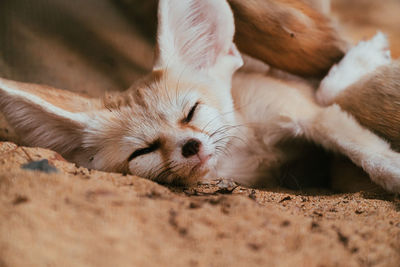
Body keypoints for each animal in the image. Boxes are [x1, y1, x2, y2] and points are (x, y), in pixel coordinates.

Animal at [0, 0, 400, 193]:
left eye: (191, 111)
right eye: (142, 151)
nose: (190, 146)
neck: (249, 154)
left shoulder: (301, 110)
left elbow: (366, 148)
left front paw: (393, 172)